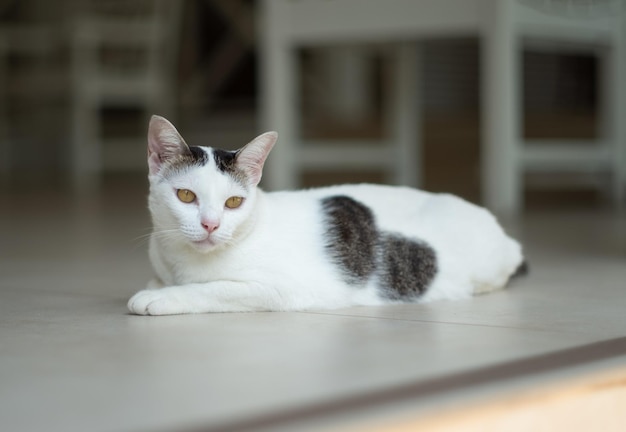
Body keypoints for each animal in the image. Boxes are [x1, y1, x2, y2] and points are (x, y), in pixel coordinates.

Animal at [129, 115, 524, 314]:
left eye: (233, 203)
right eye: (186, 195)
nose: (210, 224)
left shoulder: (282, 289)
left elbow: (215, 289)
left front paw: (162, 297)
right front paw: (158, 286)